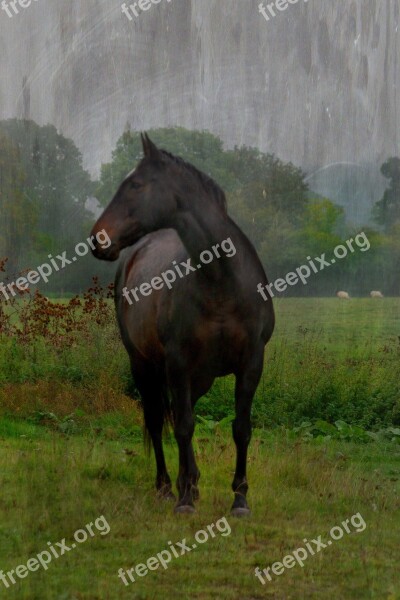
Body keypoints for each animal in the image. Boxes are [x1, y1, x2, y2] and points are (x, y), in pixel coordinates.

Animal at [90, 135, 276, 516]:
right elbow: (184, 427)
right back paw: (167, 486)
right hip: (144, 366)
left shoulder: (251, 363)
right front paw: (185, 498)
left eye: (135, 184)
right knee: (158, 419)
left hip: (199, 377)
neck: (221, 283)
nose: (98, 239)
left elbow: (241, 428)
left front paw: (239, 499)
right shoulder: (178, 363)